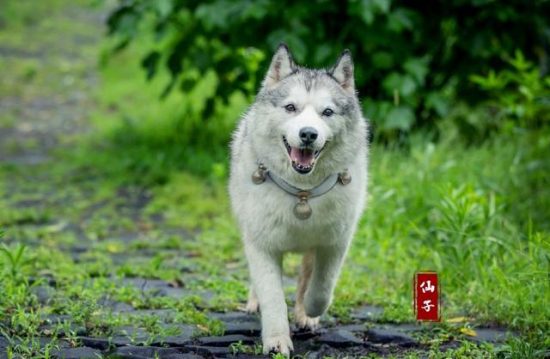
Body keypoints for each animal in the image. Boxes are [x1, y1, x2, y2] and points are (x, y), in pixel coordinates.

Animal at [230, 45, 370, 358]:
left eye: (327, 112)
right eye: (290, 108)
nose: (308, 133)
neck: (302, 193)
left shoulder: (334, 243)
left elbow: (321, 287)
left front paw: (310, 310)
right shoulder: (262, 245)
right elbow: (272, 297)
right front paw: (276, 341)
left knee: (308, 275)